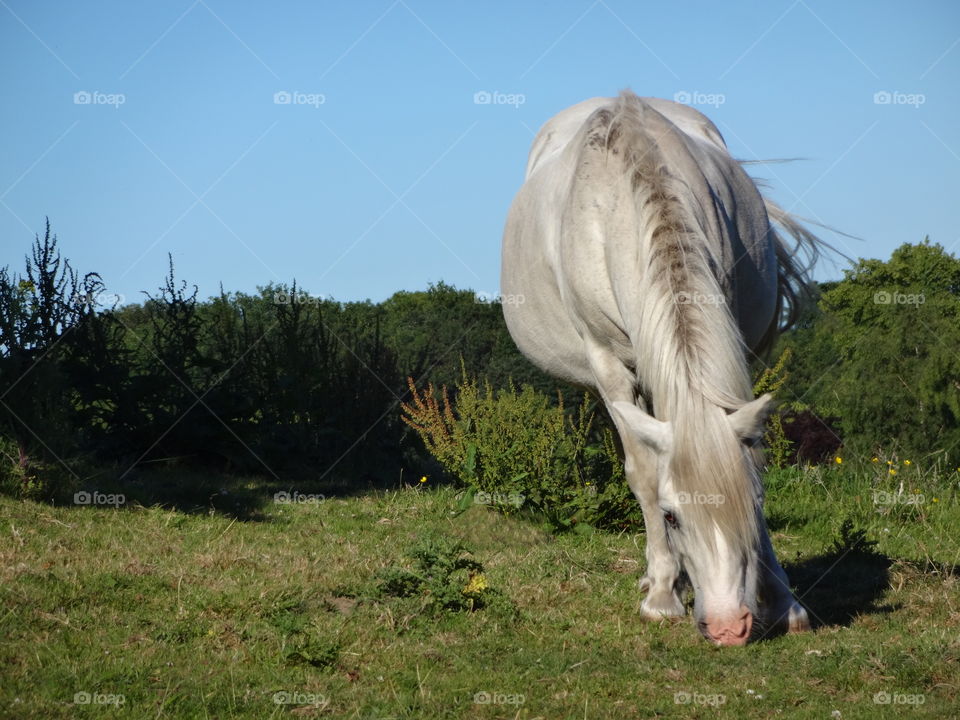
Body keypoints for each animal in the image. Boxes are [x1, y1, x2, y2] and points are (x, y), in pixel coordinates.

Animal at [502, 91, 816, 648]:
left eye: (756, 503)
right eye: (672, 516)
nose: (729, 627)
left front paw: (784, 599)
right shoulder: (607, 363)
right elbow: (644, 473)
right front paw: (663, 595)